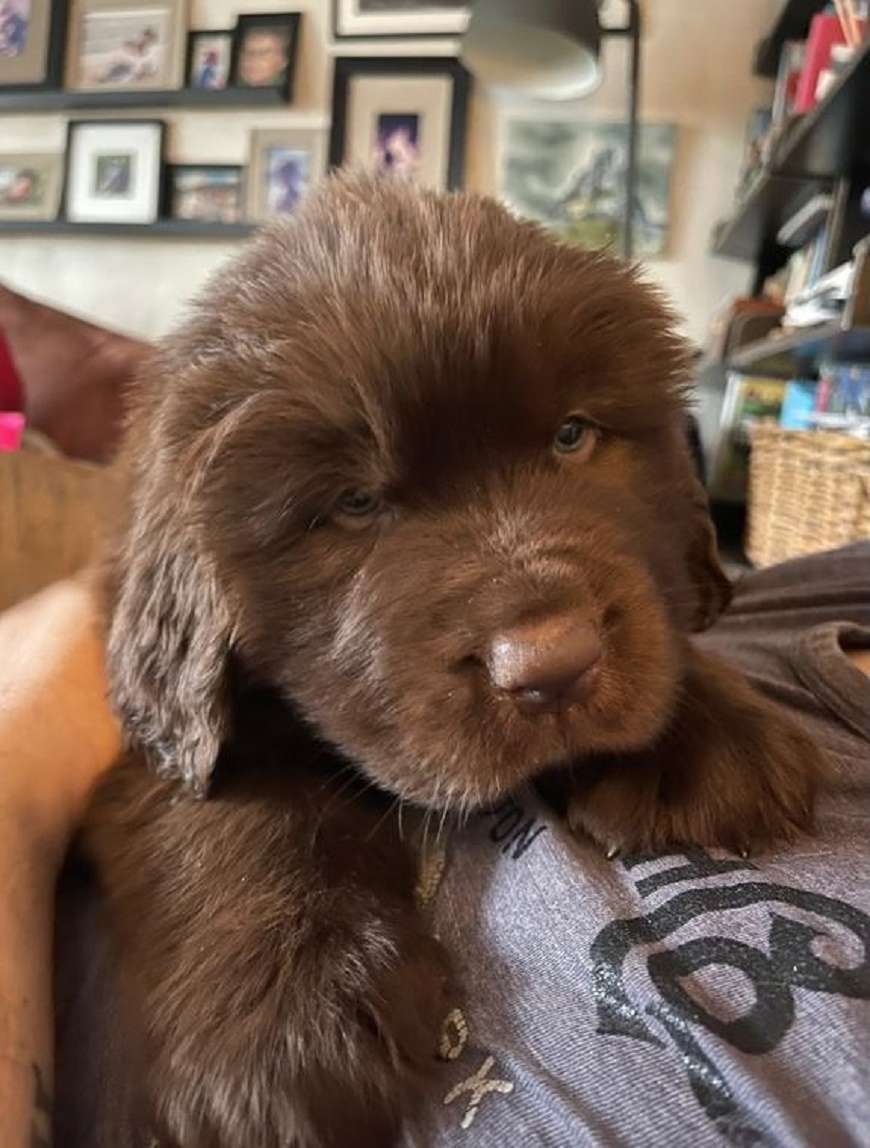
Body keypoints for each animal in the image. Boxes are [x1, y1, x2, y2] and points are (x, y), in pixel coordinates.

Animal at [54, 172, 826, 1148]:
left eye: (571, 436)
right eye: (352, 504)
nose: (553, 665)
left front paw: (701, 740)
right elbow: (222, 808)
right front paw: (277, 1017)